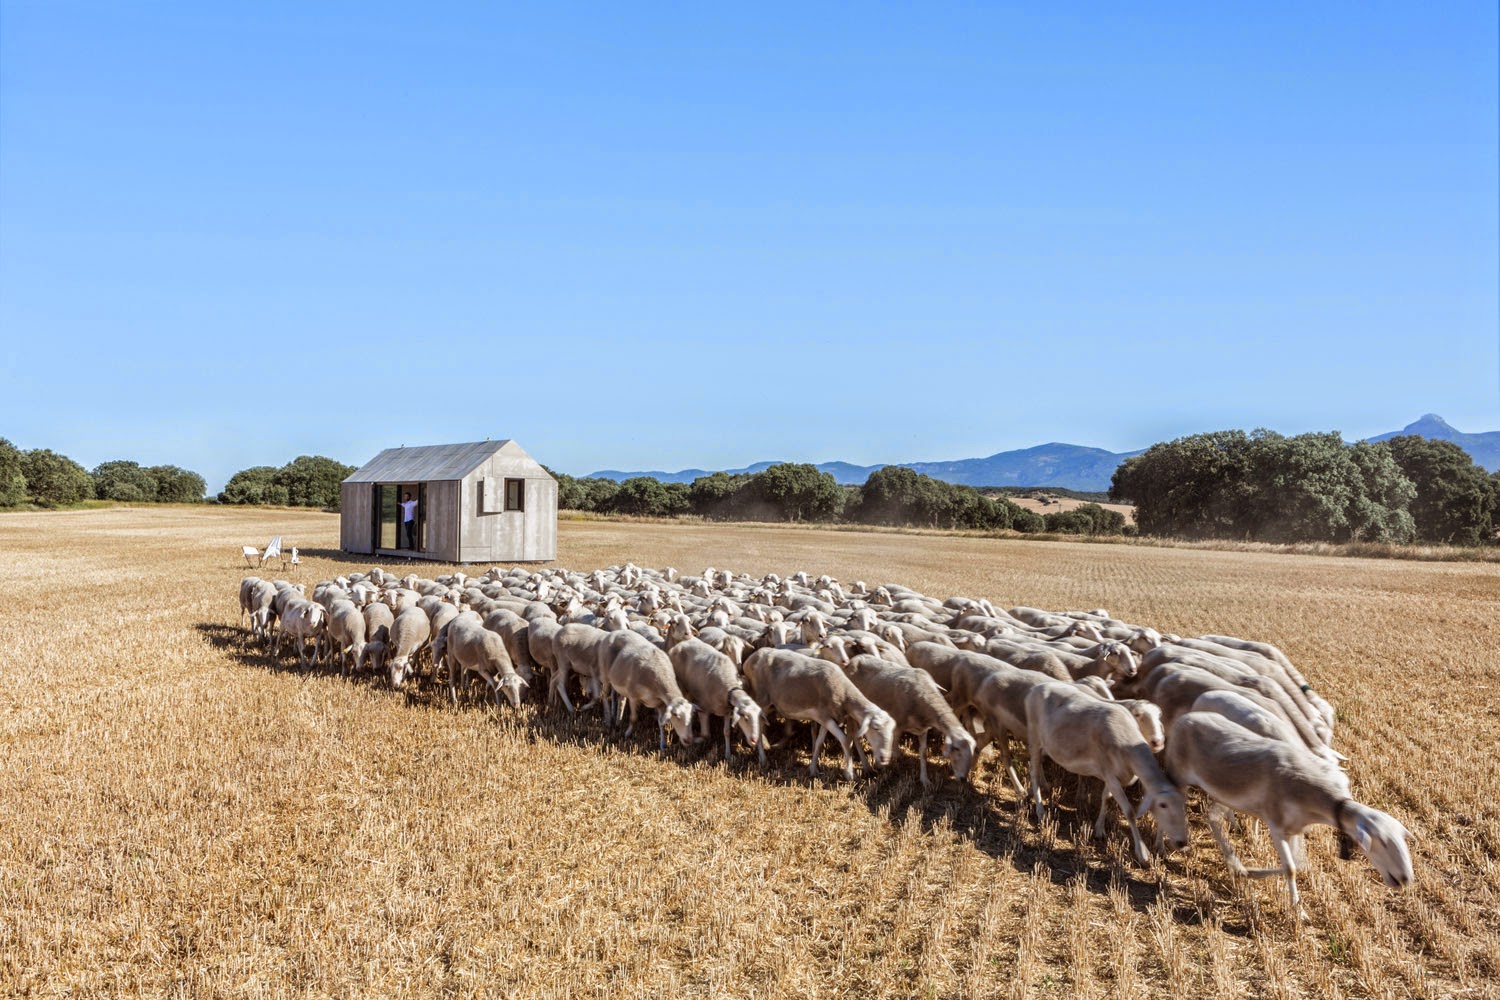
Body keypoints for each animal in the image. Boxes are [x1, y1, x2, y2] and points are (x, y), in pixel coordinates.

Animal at [742, 647, 896, 780]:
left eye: (892, 730)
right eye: (876, 728)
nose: (885, 758)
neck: (845, 695)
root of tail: (750, 659)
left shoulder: (826, 719)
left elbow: (820, 742)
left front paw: (813, 769)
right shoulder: (824, 716)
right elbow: (846, 740)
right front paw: (849, 774)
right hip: (762, 699)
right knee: (758, 724)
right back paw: (763, 759)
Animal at [1025, 682, 1191, 866]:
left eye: (1182, 804)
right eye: (1163, 805)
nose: (1182, 842)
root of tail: (1038, 686)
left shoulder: (1112, 775)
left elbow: (1106, 797)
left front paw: (1099, 829)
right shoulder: (1111, 775)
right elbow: (1129, 812)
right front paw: (1142, 853)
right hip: (1033, 736)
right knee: (1033, 772)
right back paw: (1040, 810)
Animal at [1165, 712, 1411, 922]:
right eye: (1383, 843)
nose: (1406, 878)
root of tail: (1185, 718)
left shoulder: (1295, 828)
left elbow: (1298, 866)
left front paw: (1253, 873)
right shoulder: (1277, 825)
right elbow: (1291, 868)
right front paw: (1299, 912)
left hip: (1223, 794)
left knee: (1213, 817)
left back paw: (1235, 863)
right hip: (1178, 774)